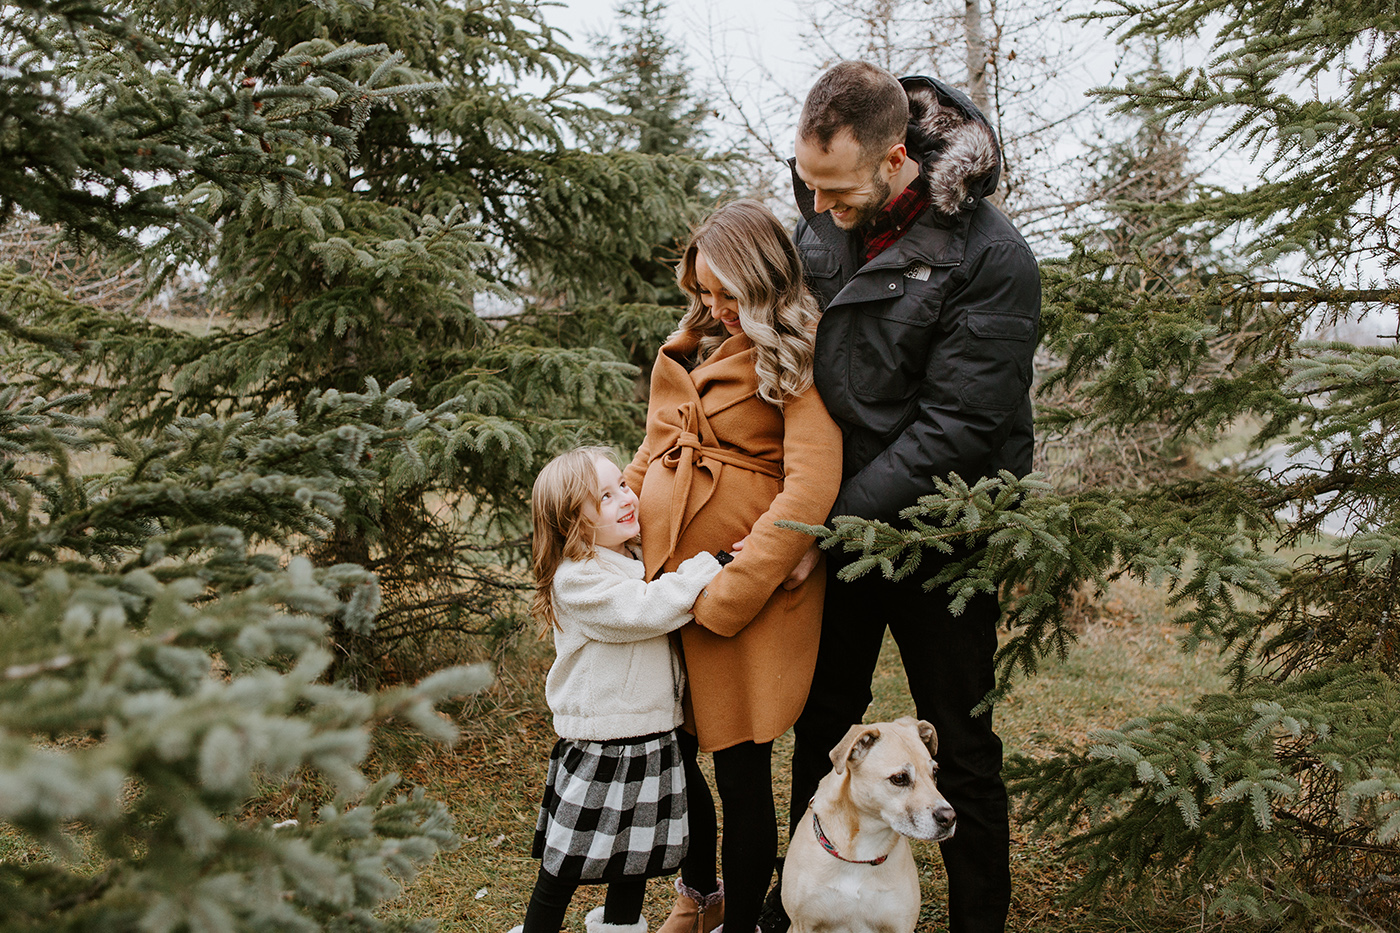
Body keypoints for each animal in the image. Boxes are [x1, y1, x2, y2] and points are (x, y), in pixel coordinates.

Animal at [784, 717, 957, 930]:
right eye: (899, 778)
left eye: (935, 772)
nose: (949, 818)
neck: (860, 856)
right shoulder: (802, 924)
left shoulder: (901, 925)